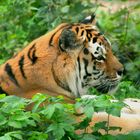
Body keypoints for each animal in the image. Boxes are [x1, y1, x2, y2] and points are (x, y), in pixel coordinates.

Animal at [0, 14, 140, 135]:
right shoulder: (71, 118)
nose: (122, 71)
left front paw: (132, 101)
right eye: (100, 57)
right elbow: (115, 120)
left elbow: (103, 101)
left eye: (110, 50)